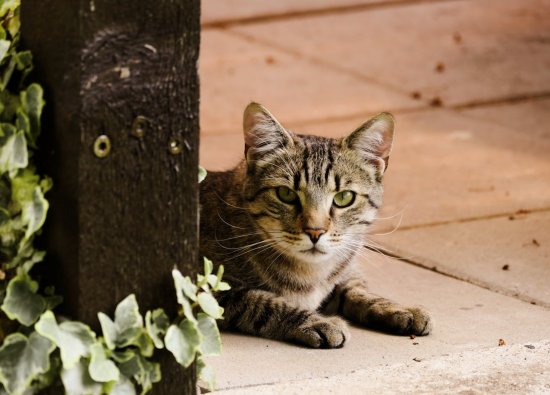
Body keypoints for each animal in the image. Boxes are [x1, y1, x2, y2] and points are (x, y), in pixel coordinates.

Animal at [201, 103, 434, 350]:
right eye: (285, 194)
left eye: (344, 197)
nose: (315, 231)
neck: (311, 274)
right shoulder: (207, 290)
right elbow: (260, 301)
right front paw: (318, 321)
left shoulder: (344, 274)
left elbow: (357, 291)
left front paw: (396, 308)